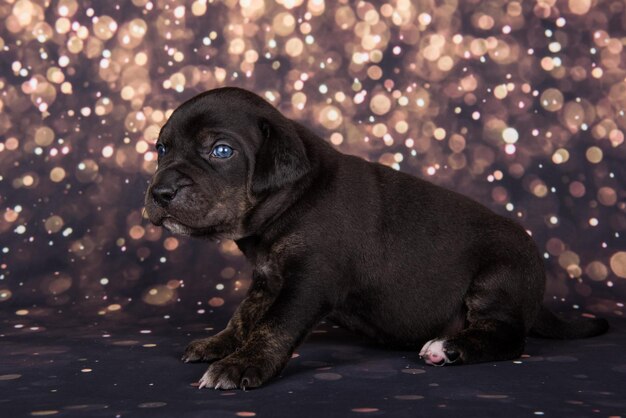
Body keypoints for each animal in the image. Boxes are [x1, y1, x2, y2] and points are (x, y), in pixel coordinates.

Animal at [145, 86, 604, 390]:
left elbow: (274, 325)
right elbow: (244, 316)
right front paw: (219, 344)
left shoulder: (310, 282)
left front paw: (241, 366)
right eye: (161, 149)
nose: (159, 192)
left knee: (509, 338)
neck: (291, 201)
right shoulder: (267, 279)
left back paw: (449, 349)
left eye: (221, 151)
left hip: (498, 275)